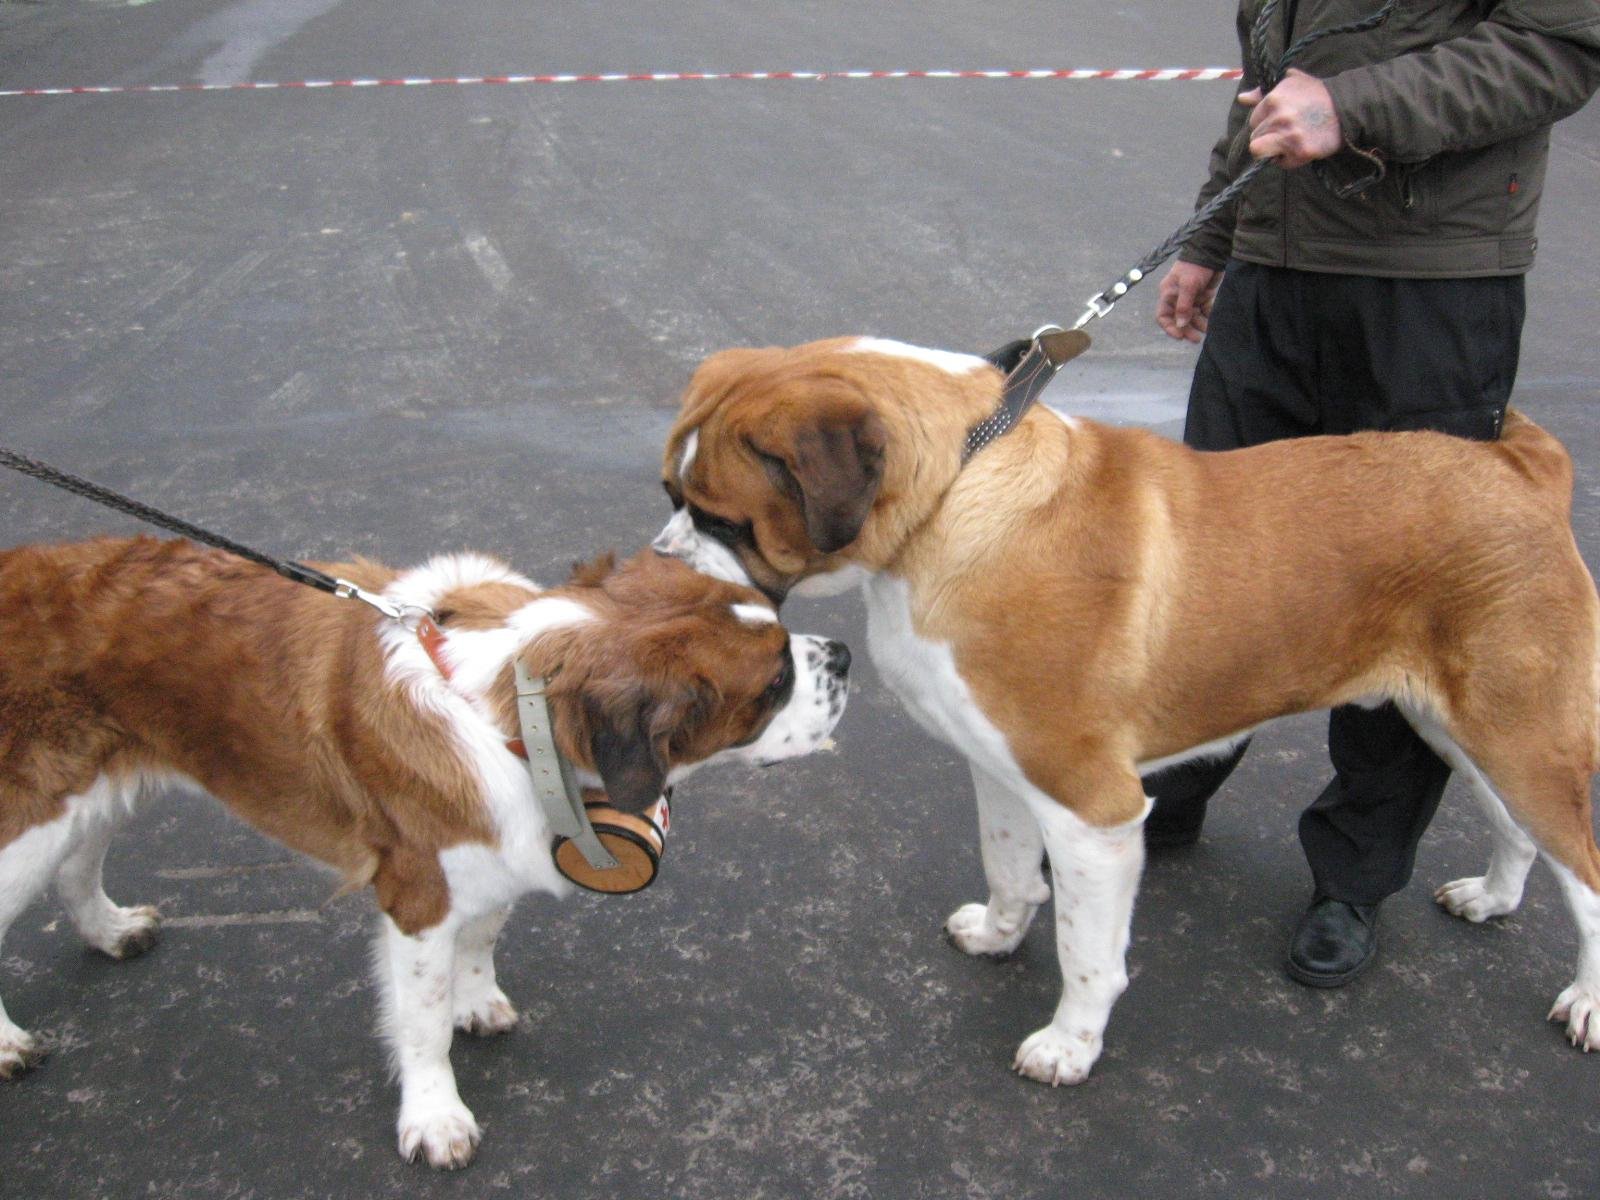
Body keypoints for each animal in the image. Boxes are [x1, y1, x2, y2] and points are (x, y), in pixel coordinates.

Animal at [0, 540, 851, 1171]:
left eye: (782, 630)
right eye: (775, 681)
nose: (842, 654)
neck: (515, 708)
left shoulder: (492, 854)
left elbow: (481, 939)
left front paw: (477, 998)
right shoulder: (418, 895)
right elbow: (423, 1017)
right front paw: (436, 1118)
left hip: (97, 782)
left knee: (78, 864)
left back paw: (109, 930)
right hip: (27, 821)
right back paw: (8, 1042)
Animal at [649, 331, 1600, 1088]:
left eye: (722, 520)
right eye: (670, 496)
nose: (664, 568)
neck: (956, 490)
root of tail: (1523, 468)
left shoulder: (1092, 812)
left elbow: (1086, 951)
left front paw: (1068, 1047)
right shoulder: (1003, 767)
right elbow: (1007, 866)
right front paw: (997, 935)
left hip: (1522, 734)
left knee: (1585, 870)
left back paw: (1586, 1002)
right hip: (1462, 727)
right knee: (1519, 829)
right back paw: (1491, 896)